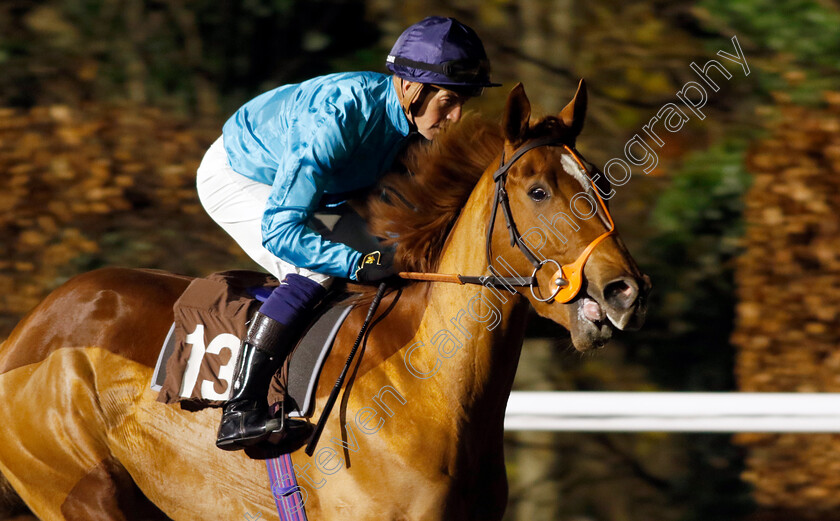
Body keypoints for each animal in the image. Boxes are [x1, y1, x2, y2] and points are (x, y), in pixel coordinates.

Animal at [0, 82, 648, 520]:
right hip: (83, 490)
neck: (430, 389)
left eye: (599, 182)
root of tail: (26, 332)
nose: (625, 290)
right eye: (537, 190)